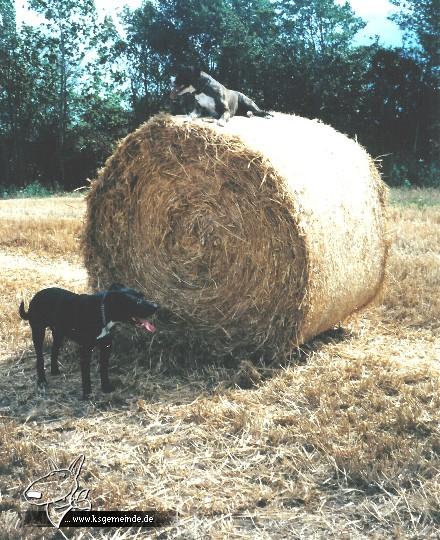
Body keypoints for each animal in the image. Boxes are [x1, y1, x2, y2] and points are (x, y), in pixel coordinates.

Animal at [19, 284, 160, 398]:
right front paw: (87, 394)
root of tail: (36, 296)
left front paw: (106, 388)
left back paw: (55, 371)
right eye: (137, 301)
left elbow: (104, 369)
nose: (156, 306)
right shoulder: (86, 349)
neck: (103, 312)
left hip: (59, 333)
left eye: (142, 295)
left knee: (54, 351)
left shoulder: (106, 346)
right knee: (40, 358)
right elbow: (86, 374)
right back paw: (42, 381)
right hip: (38, 331)